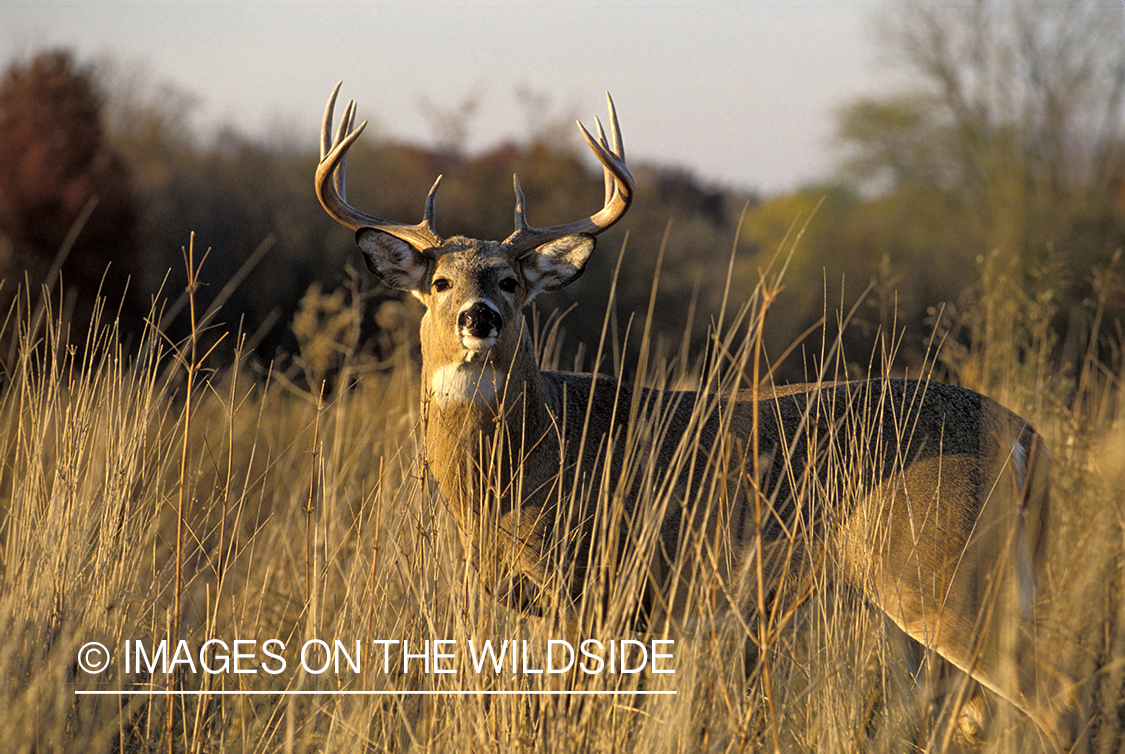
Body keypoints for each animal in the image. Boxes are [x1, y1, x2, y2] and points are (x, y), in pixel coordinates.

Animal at [312, 84, 1075, 751]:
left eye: (510, 281)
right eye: (440, 281)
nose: (480, 318)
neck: (527, 463)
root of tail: (1024, 438)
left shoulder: (604, 586)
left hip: (940, 572)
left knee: (1052, 700)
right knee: (962, 713)